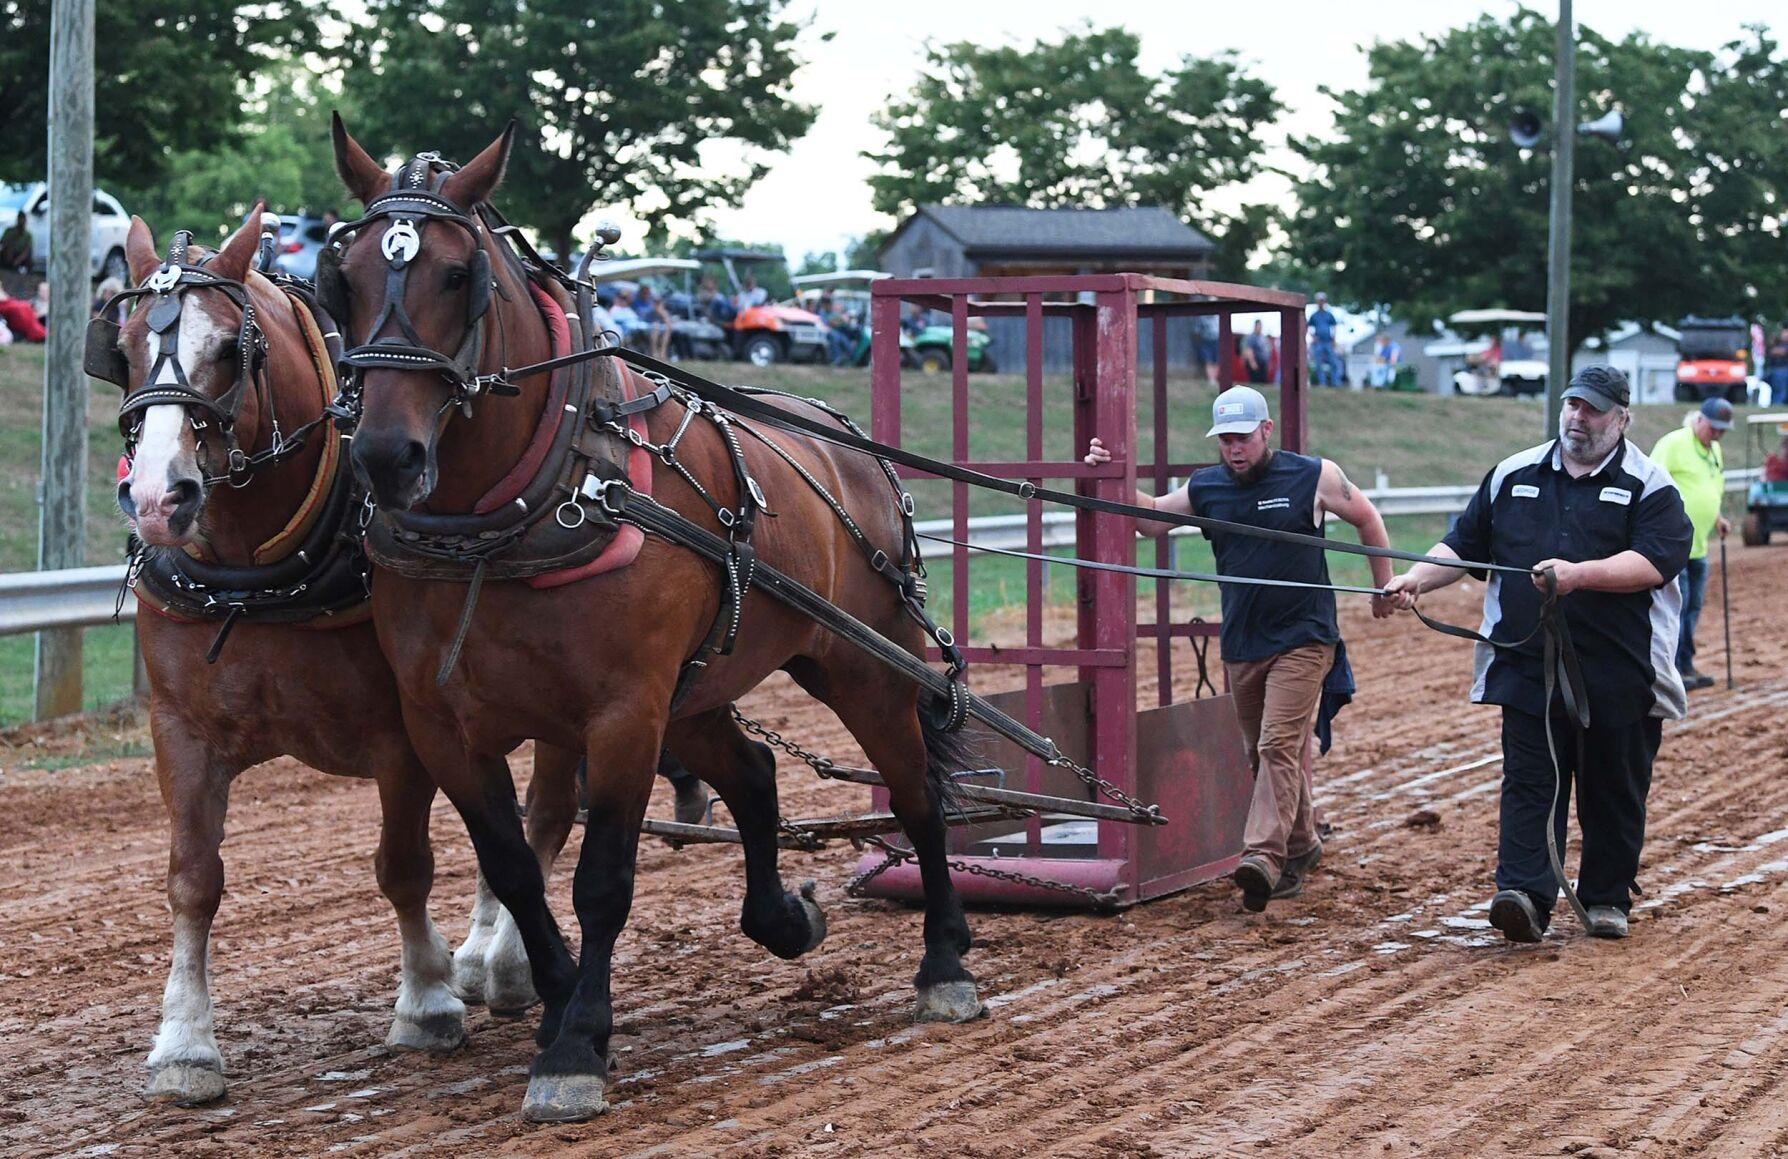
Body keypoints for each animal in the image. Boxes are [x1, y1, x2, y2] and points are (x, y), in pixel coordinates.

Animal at [103, 209, 585, 1103]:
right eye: (119, 347)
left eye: (232, 352)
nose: (157, 498)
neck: (257, 569)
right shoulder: (180, 731)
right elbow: (193, 878)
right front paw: (184, 1041)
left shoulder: (403, 735)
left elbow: (404, 865)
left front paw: (426, 1001)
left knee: (541, 815)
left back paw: (502, 963)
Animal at [326, 116, 983, 1123]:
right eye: (345, 276)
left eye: (457, 273)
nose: (386, 457)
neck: (518, 514)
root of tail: (850, 445)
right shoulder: (444, 725)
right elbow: (514, 869)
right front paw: (558, 1001)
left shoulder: (623, 712)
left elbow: (602, 878)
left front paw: (575, 1048)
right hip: (700, 688)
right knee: (753, 772)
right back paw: (781, 918)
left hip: (863, 666)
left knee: (916, 794)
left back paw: (944, 960)